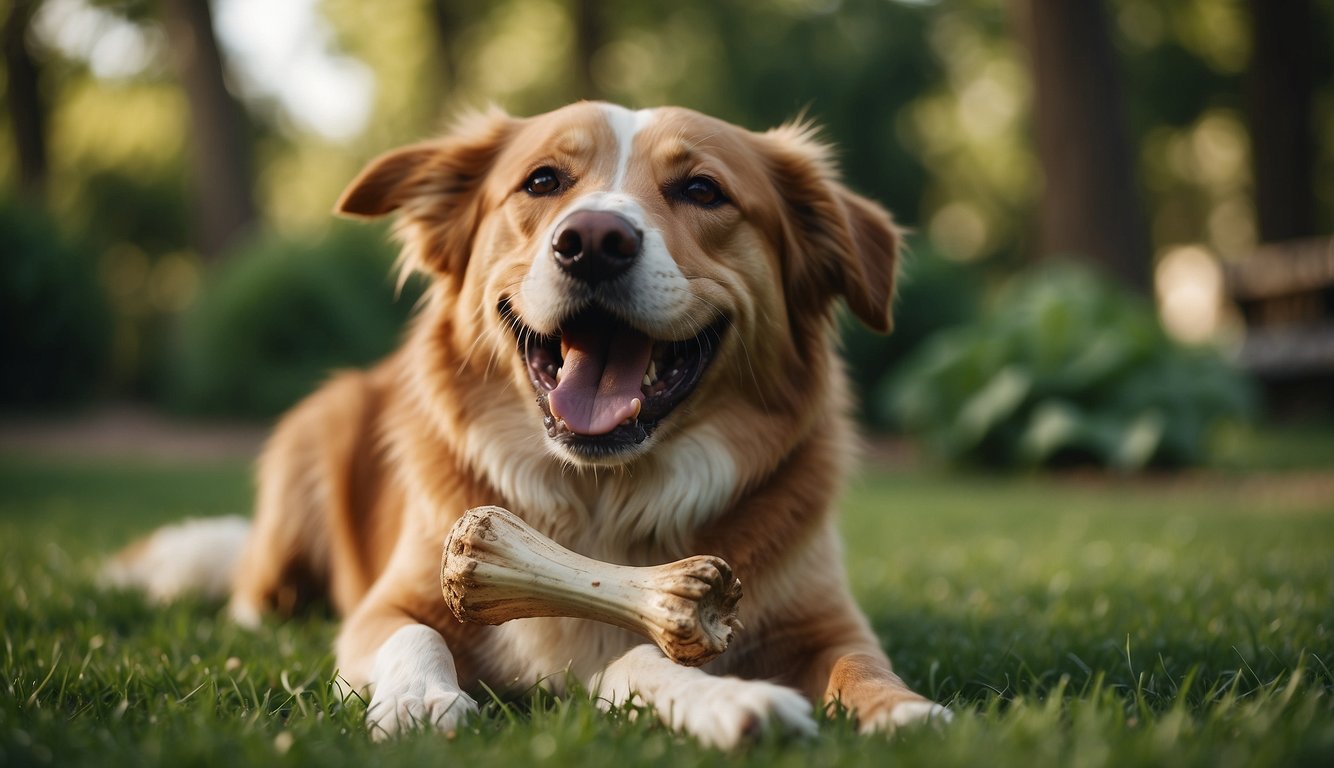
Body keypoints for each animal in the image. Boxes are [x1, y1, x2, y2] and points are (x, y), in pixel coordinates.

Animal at [112, 102, 949, 752]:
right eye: (543, 181)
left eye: (702, 189)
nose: (595, 240)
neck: (604, 497)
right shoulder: (390, 603)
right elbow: (412, 634)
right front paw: (419, 703)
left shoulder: (824, 623)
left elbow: (855, 666)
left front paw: (903, 715)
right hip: (313, 439)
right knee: (254, 593)